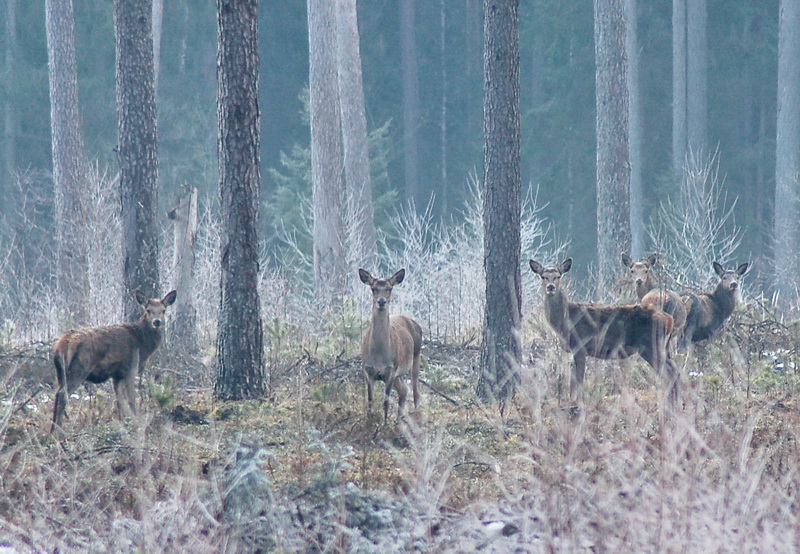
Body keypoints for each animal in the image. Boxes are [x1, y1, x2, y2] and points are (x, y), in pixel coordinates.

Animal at [51, 288, 177, 432]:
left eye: (163, 310)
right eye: (148, 310)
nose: (157, 322)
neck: (142, 343)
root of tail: (63, 343)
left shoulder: (117, 376)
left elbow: (120, 401)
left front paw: (122, 424)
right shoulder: (131, 369)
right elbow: (131, 399)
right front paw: (137, 424)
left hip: (61, 373)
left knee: (57, 394)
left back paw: (53, 429)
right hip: (80, 369)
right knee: (62, 395)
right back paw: (59, 431)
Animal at [360, 266, 424, 420]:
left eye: (389, 288)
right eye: (373, 288)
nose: (382, 301)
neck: (378, 354)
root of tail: (416, 324)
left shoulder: (390, 370)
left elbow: (386, 403)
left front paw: (384, 423)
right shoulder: (367, 370)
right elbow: (370, 402)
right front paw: (369, 422)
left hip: (416, 355)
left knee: (415, 391)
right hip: (398, 373)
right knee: (404, 390)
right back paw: (399, 419)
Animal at [528, 256, 680, 404]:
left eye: (558, 276)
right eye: (543, 276)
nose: (551, 287)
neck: (566, 321)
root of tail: (669, 319)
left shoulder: (580, 345)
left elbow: (579, 379)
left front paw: (578, 404)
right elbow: (573, 381)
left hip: (650, 344)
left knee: (669, 373)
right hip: (662, 346)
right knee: (674, 371)